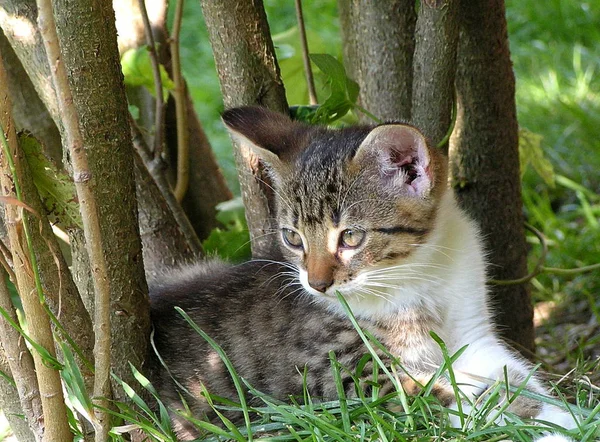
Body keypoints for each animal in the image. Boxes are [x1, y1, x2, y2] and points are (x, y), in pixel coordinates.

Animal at [148, 106, 576, 438]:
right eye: (293, 237)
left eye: (351, 237)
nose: (317, 284)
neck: (418, 274)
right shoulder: (339, 374)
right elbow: (439, 399)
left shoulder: (473, 334)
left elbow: (512, 376)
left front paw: (560, 417)